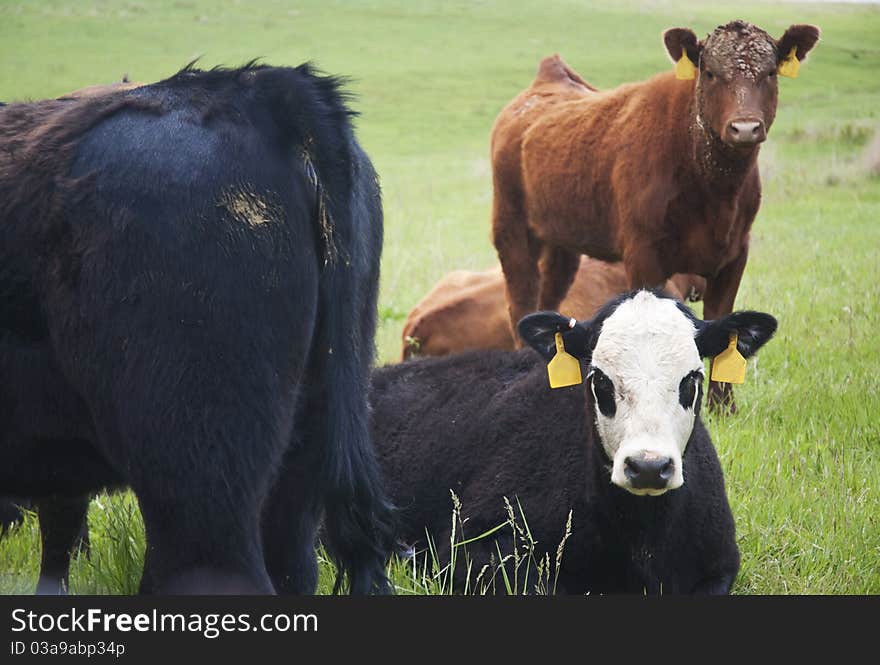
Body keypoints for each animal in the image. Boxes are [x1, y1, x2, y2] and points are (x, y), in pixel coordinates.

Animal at [372, 290, 776, 592]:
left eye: (692, 378)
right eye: (599, 379)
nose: (648, 467)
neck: (642, 536)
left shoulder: (719, 565)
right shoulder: (469, 549)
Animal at [492, 20, 820, 408]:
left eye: (769, 72)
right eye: (710, 73)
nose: (744, 127)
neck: (714, 190)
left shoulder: (735, 252)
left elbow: (726, 328)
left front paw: (723, 406)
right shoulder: (642, 252)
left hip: (562, 243)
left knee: (548, 301)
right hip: (511, 227)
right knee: (520, 300)